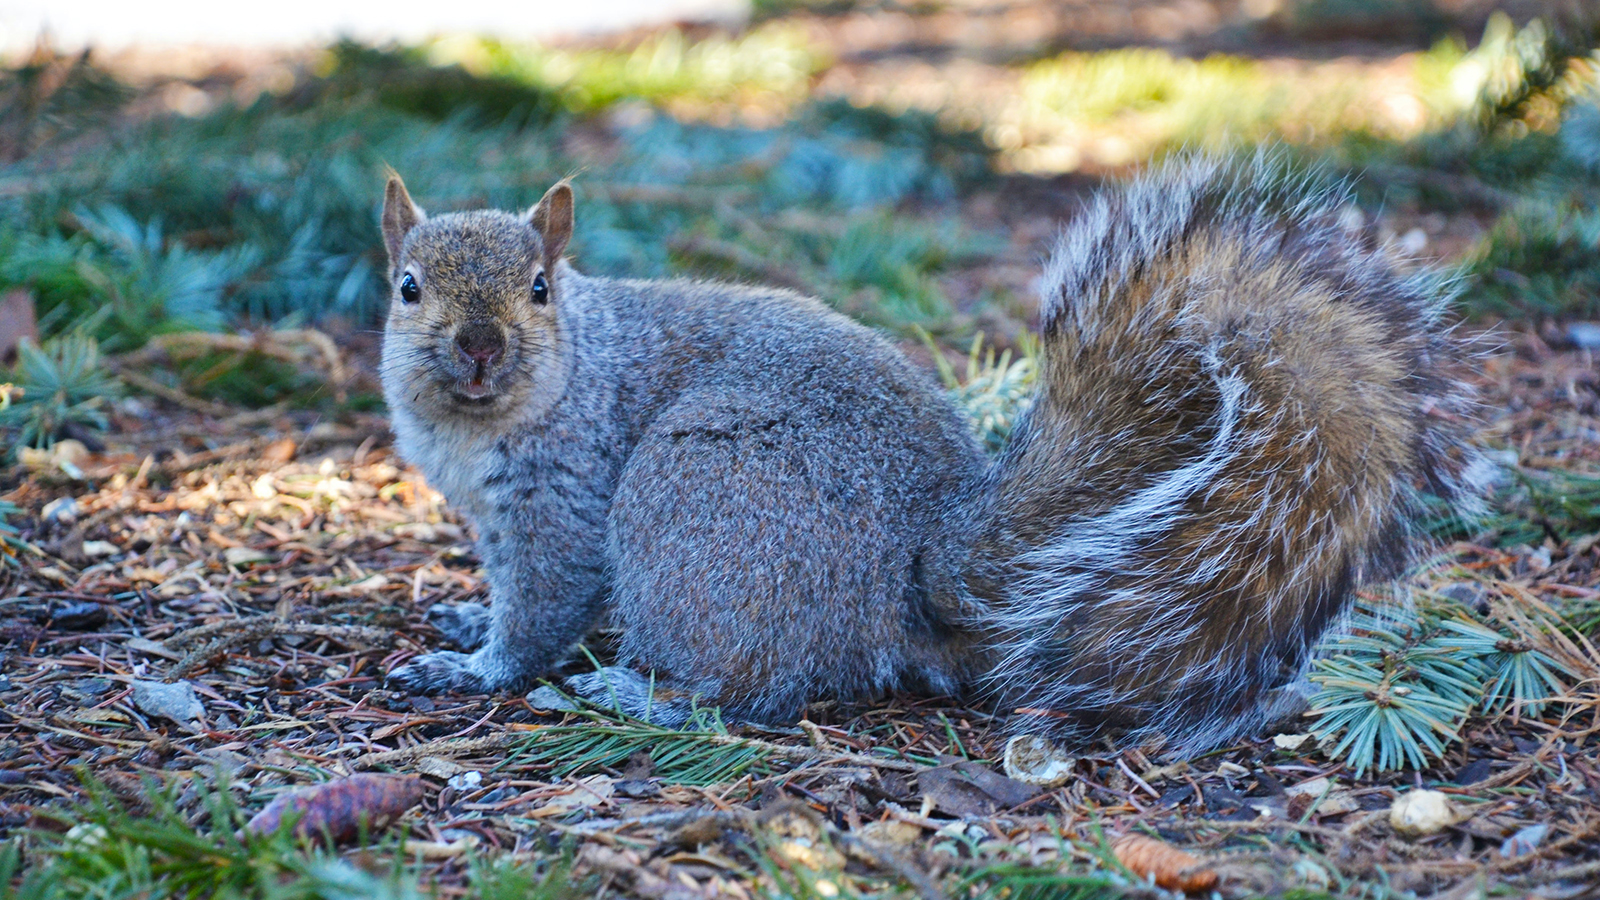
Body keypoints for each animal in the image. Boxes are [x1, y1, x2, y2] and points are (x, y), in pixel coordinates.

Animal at [379, 154, 1486, 754]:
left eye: (538, 288)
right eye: (406, 287)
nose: (479, 346)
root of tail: (926, 559)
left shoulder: (561, 499)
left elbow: (544, 605)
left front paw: (472, 669)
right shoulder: (491, 514)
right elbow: (505, 590)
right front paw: (464, 616)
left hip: (699, 490)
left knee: (755, 689)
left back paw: (637, 693)